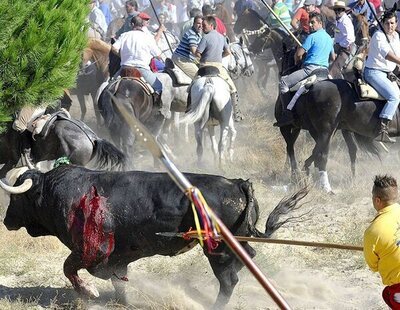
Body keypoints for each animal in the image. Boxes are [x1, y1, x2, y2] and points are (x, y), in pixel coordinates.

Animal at [3, 166, 308, 306]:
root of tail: (237, 183)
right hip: (236, 244)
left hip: (217, 250)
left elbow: (70, 268)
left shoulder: (92, 250)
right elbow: (117, 279)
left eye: (16, 198)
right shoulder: (116, 257)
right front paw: (121, 301)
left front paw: (89, 292)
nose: (5, 221)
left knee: (228, 280)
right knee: (246, 261)